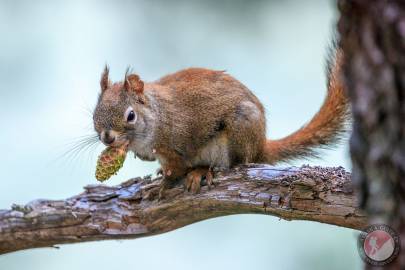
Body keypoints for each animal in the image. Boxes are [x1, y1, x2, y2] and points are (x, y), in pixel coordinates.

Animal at [92, 48, 348, 195]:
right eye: (94, 113)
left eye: (130, 116)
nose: (107, 138)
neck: (156, 116)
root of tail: (261, 146)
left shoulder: (176, 146)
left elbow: (176, 171)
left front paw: (161, 186)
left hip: (240, 131)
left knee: (233, 164)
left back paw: (202, 171)